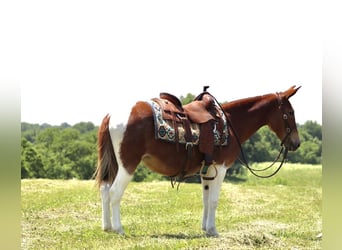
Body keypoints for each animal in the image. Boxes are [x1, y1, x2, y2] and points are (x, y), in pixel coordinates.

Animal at [93, 86, 300, 236]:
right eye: (290, 112)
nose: (296, 143)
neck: (230, 123)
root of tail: (111, 115)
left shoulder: (207, 171)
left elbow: (206, 200)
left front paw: (205, 228)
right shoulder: (221, 168)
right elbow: (214, 200)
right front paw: (213, 230)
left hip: (115, 164)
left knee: (104, 190)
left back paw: (107, 227)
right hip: (127, 164)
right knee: (114, 192)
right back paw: (119, 229)